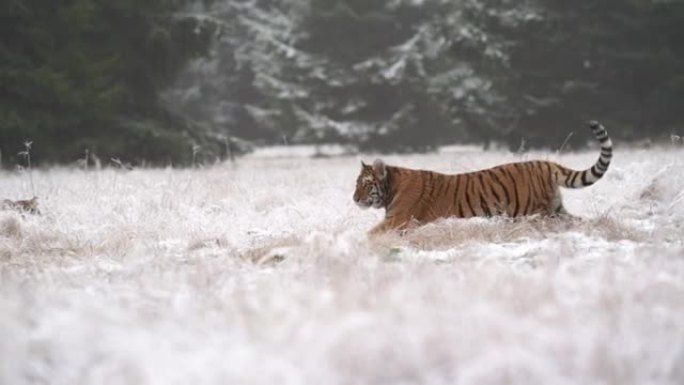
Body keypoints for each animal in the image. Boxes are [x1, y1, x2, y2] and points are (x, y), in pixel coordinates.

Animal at [356, 121, 612, 232]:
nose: (354, 199)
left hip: (535, 212)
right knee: (577, 220)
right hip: (555, 209)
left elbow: (370, 236)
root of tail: (544, 163)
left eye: (367, 184)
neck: (391, 188)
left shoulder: (398, 220)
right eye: (356, 184)